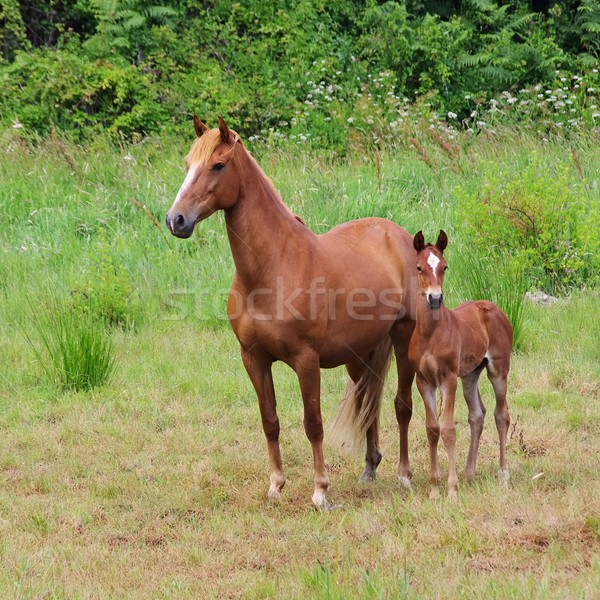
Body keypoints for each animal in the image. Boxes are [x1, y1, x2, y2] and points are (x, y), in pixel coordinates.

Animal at [410, 232, 512, 500]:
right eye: (419, 267)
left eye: (444, 266)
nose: (435, 298)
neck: (430, 334)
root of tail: (493, 307)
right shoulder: (423, 381)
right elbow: (432, 429)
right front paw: (435, 490)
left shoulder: (448, 379)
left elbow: (448, 430)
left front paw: (451, 490)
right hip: (470, 375)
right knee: (477, 414)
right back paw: (469, 473)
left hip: (498, 370)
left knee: (501, 414)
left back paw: (503, 474)